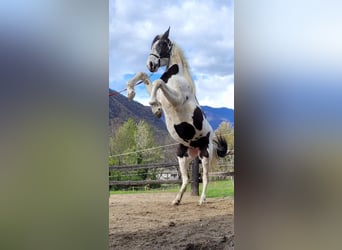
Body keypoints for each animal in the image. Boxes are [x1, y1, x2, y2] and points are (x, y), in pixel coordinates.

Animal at [125, 27, 227, 205]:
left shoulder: (177, 98)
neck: (175, 76)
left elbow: (158, 82)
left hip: (205, 154)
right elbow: (144, 76)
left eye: (162, 44)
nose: (151, 64)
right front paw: (132, 93)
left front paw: (154, 106)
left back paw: (202, 200)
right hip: (182, 156)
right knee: (185, 179)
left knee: (206, 178)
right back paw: (177, 200)